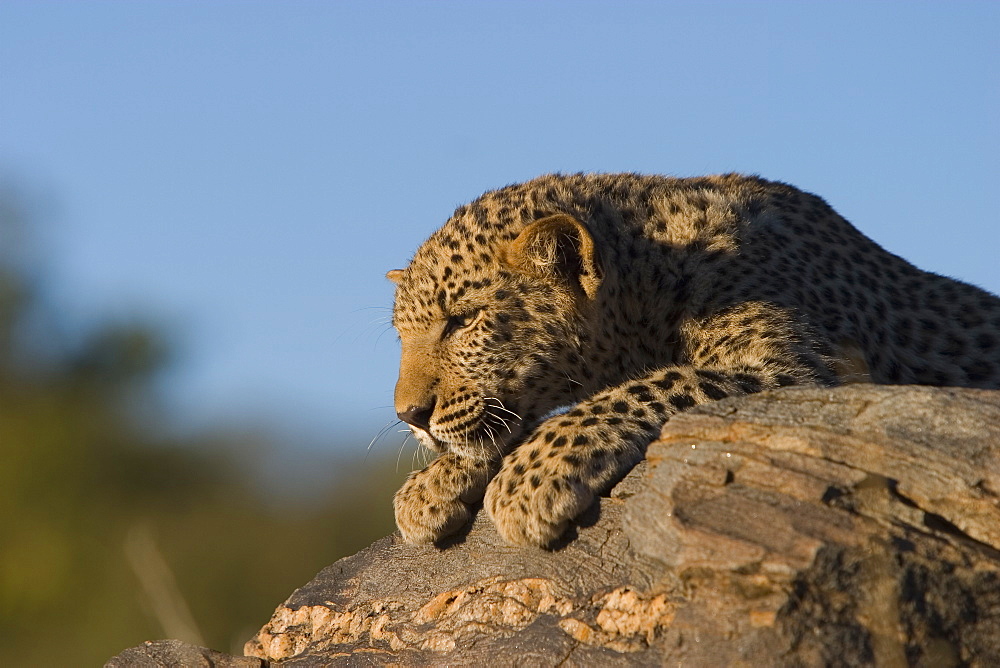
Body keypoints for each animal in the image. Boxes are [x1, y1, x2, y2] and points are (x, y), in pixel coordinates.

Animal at [386, 174, 1000, 548]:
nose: (409, 415)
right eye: (402, 335)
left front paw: (531, 477)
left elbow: (653, 384)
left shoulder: (802, 370)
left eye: (463, 320)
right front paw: (431, 485)